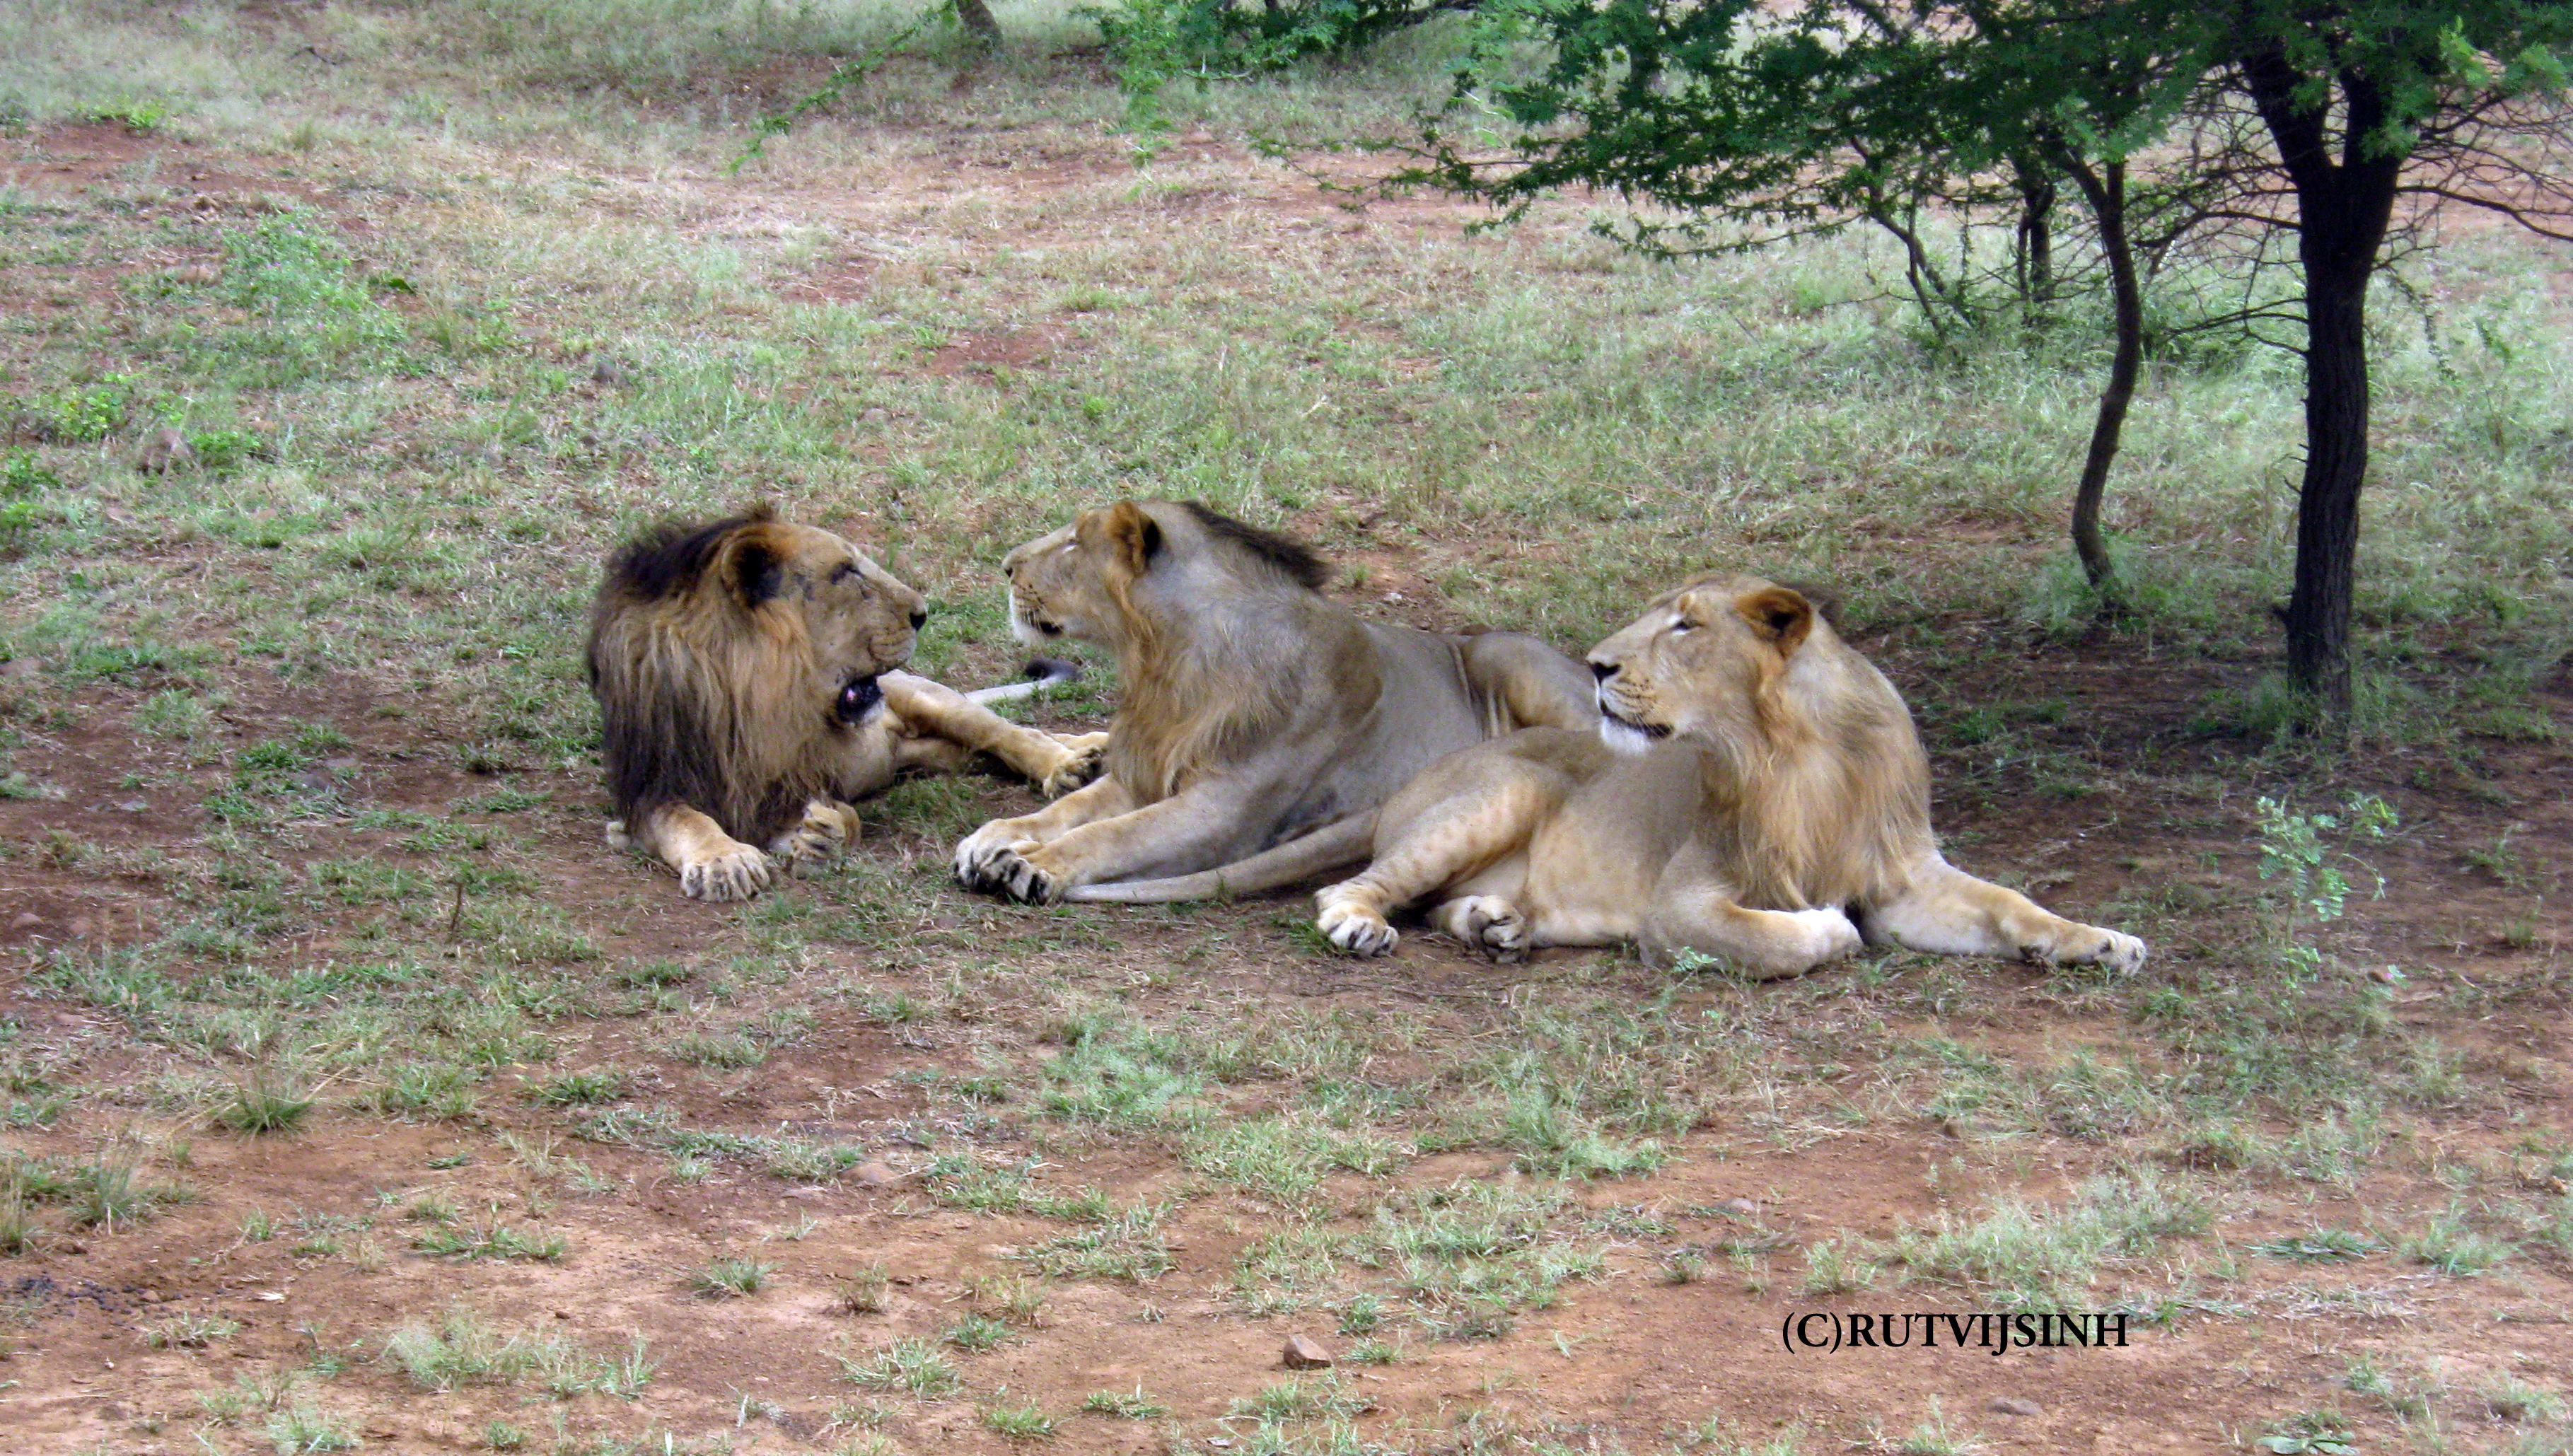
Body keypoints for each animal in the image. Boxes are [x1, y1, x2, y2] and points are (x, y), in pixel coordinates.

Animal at [585, 506, 1106, 902]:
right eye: (845, 572)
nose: (922, 613)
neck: (749, 698)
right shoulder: (649, 788)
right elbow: (685, 821)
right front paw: (724, 859)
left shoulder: (791, 784)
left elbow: (844, 817)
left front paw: (824, 836)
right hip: (935, 752)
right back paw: (1092, 751)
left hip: (926, 696)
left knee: (1010, 733)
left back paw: (1071, 763)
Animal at [949, 500, 1600, 905]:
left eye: (1073, 543)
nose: (1005, 565)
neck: (1165, 666)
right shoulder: (1144, 771)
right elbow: (1066, 809)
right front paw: (995, 837)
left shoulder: (1224, 807)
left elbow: (1110, 835)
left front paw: (1037, 864)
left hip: (1514, 662)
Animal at [1296, 573, 2147, 978]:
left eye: (1685, 625)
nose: (1596, 665)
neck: (1803, 752)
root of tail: (1405, 786)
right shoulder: (1680, 904)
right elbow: (1776, 941)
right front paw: (1828, 926)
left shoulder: (1902, 875)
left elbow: (2009, 903)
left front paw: (2099, 941)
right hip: (1509, 789)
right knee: (1354, 888)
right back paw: (1362, 924)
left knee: (1440, 904)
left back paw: (1495, 924)